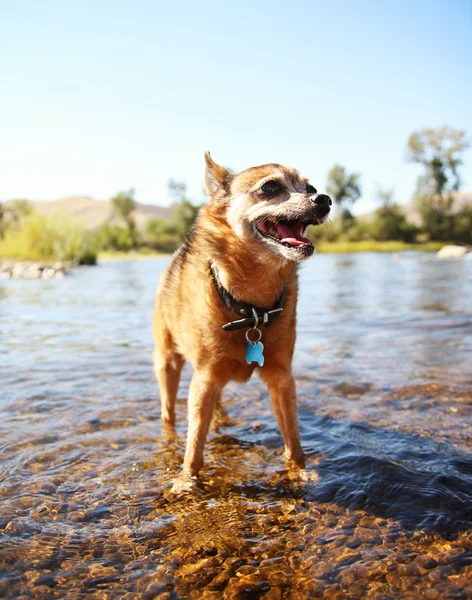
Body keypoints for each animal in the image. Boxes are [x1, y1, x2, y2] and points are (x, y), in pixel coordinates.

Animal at [152, 154, 332, 482]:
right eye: (270, 187)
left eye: (310, 187)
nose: (324, 199)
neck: (251, 309)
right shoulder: (204, 378)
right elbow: (194, 446)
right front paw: (186, 481)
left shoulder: (282, 379)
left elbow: (293, 439)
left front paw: (299, 473)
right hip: (168, 364)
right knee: (169, 412)